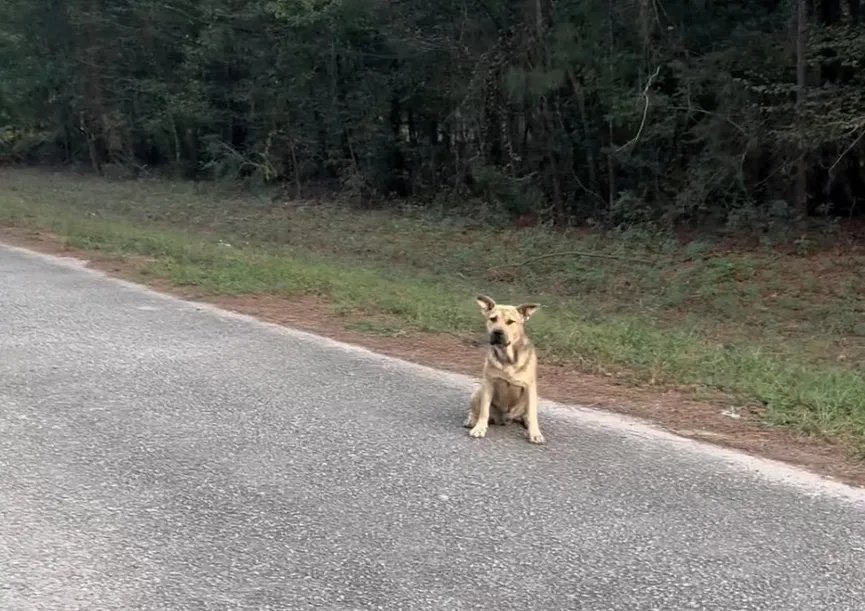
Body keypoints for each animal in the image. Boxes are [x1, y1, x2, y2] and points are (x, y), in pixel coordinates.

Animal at [462, 296, 544, 444]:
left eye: (510, 322)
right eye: (493, 319)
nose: (497, 332)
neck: (507, 356)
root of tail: (505, 419)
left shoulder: (530, 387)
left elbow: (532, 414)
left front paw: (535, 433)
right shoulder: (488, 383)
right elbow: (484, 410)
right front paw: (480, 428)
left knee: (527, 413)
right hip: (478, 392)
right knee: (476, 410)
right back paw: (471, 420)